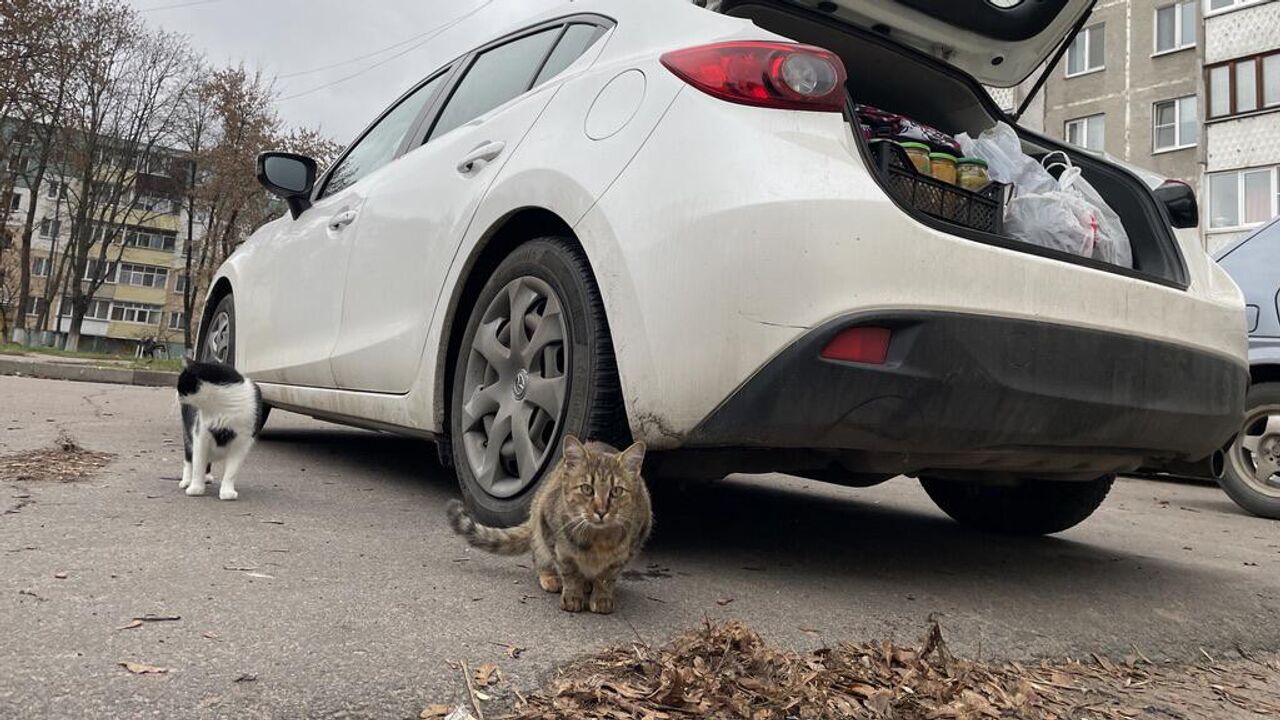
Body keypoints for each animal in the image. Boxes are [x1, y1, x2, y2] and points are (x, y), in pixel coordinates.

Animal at [177, 358, 262, 499]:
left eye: (181, 382)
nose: (177, 393)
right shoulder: (201, 433)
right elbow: (198, 464)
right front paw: (196, 488)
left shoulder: (242, 441)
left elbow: (232, 470)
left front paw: (227, 492)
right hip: (187, 433)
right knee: (189, 459)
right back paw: (187, 481)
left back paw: (206, 477)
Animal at [448, 435, 650, 614]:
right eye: (587, 489)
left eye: (616, 491)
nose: (601, 511)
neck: (597, 540)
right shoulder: (552, 534)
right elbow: (570, 572)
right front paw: (573, 595)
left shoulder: (629, 547)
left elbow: (607, 578)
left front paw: (601, 597)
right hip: (538, 523)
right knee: (540, 559)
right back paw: (552, 577)